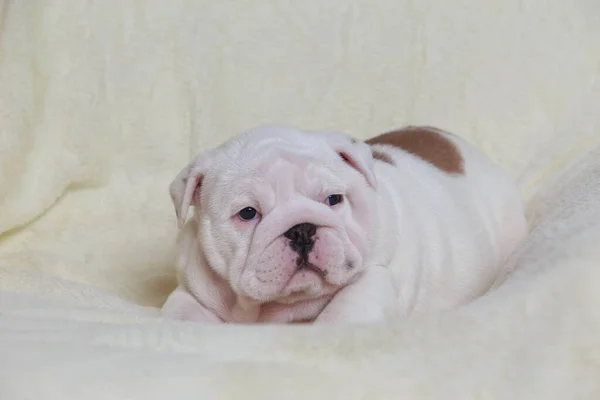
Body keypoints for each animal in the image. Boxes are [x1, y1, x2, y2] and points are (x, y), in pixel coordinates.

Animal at [162, 123, 528, 324]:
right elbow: (179, 312)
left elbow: (343, 312)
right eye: (248, 213)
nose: (301, 229)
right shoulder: (193, 289)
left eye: (333, 199)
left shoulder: (374, 276)